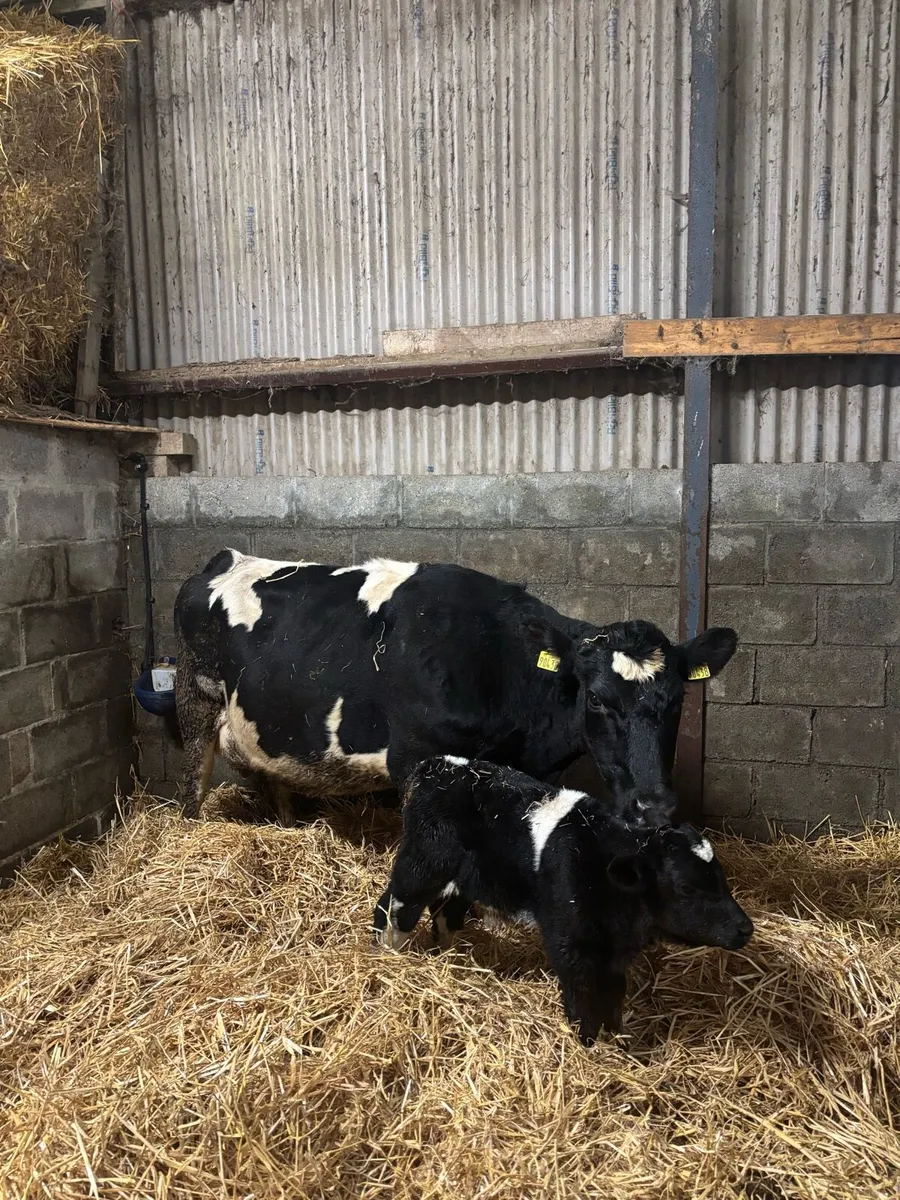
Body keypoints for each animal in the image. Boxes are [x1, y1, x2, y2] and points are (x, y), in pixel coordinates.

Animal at [173, 552, 737, 823]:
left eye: (679, 700)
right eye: (596, 698)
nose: (654, 809)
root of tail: (226, 559)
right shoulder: (414, 760)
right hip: (193, 701)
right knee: (192, 787)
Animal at [372, 756, 754, 1044]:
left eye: (721, 878)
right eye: (686, 887)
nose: (745, 928)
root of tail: (437, 765)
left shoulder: (614, 952)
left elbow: (613, 993)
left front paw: (616, 1039)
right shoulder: (568, 942)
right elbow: (580, 994)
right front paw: (586, 1042)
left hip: (460, 879)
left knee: (443, 913)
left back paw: (445, 955)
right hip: (421, 866)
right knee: (393, 906)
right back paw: (390, 953)